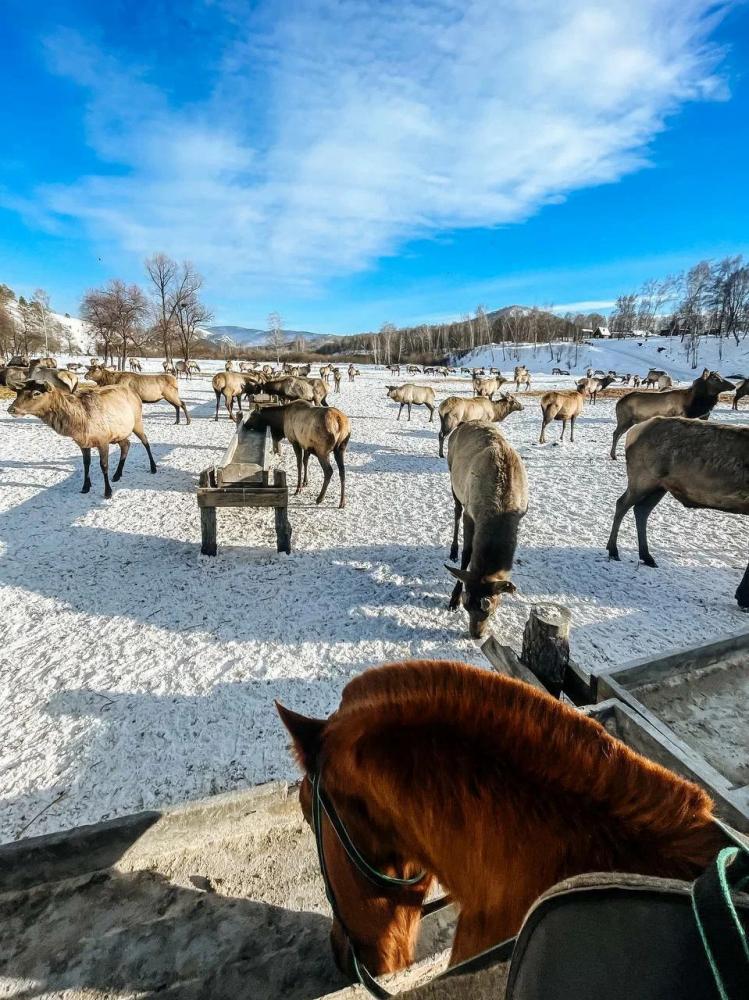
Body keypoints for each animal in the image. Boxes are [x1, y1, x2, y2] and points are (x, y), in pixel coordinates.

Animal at [7, 376, 156, 498]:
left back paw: (153, 467)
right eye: (18, 392)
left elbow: (104, 465)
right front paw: (85, 487)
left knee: (145, 441)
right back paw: (117, 474)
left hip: (137, 421)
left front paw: (108, 492)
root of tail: (135, 394)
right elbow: (86, 464)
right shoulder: (83, 443)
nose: (11, 409)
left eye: (36, 393)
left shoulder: (103, 439)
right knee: (126, 445)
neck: (79, 424)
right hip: (119, 432)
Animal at [444, 420, 524, 636]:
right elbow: (467, 555)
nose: (476, 634)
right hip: (452, 476)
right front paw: (452, 599)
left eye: (492, 608)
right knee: (455, 511)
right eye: (466, 606)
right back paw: (452, 550)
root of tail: (463, 423)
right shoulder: (470, 513)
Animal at [604, 416, 744, 608]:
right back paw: (613, 550)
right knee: (622, 504)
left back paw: (646, 556)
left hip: (659, 486)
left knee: (641, 509)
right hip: (643, 479)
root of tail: (634, 432)